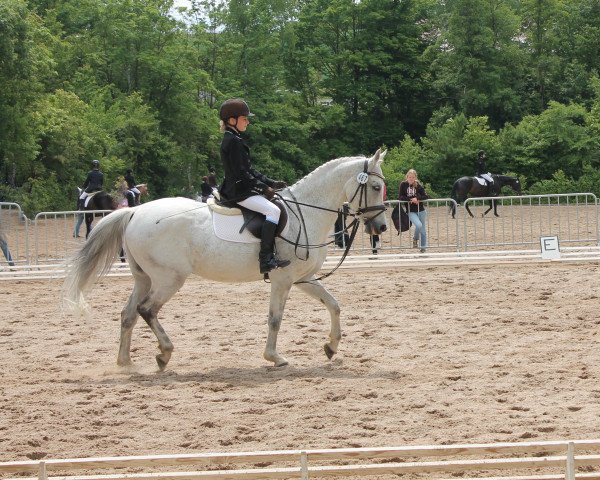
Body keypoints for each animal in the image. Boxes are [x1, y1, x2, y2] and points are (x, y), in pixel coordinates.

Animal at [62, 149, 390, 368]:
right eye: (375, 187)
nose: (382, 227)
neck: (306, 213)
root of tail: (134, 211)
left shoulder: (303, 279)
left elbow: (333, 305)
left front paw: (331, 347)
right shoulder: (283, 280)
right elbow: (275, 319)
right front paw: (275, 357)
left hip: (144, 278)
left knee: (128, 313)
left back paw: (125, 363)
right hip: (169, 279)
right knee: (147, 310)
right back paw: (164, 353)